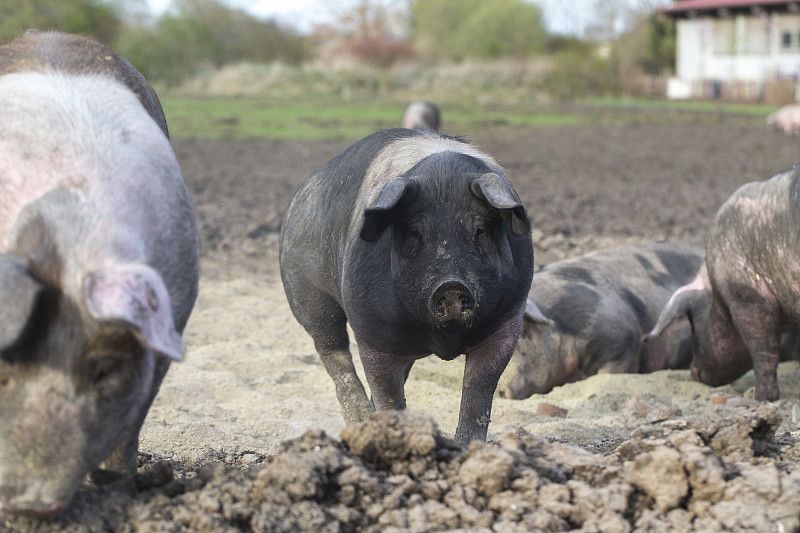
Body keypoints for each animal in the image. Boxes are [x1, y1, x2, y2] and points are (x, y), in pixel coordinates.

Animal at [278, 128, 536, 440]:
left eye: (480, 231)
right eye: (415, 232)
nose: (451, 285)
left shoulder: (508, 318)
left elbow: (479, 392)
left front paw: (467, 445)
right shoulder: (372, 330)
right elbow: (386, 391)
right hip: (308, 296)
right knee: (333, 353)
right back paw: (359, 422)